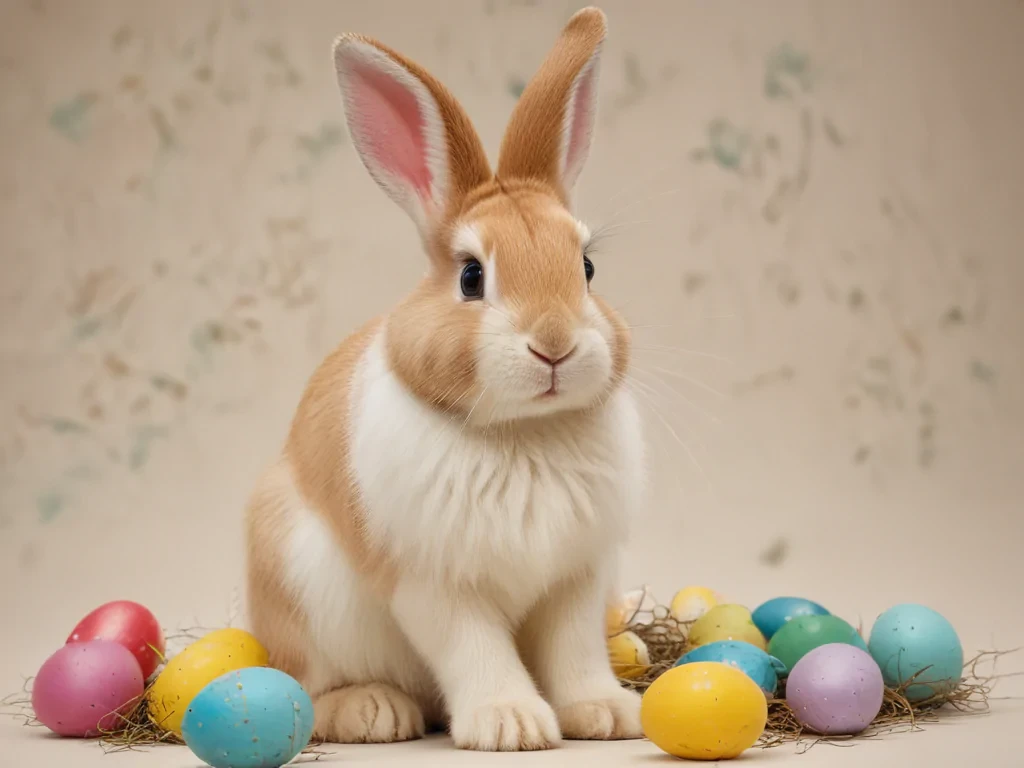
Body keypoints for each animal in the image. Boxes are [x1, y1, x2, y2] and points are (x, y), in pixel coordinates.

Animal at [245, 6, 645, 752]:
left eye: (587, 268)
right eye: (470, 277)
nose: (554, 344)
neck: (523, 433)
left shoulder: (577, 580)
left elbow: (574, 652)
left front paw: (605, 714)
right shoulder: (435, 584)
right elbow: (476, 649)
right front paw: (511, 724)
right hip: (302, 600)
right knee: (311, 690)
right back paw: (376, 711)